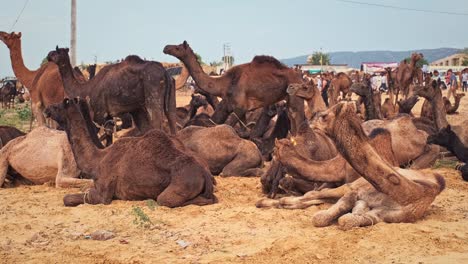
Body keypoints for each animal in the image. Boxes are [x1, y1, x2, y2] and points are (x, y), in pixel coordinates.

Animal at [44, 98, 217, 207]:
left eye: (57, 106)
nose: (46, 110)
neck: (97, 160)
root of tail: (204, 173)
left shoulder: (103, 194)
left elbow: (68, 198)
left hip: (180, 185)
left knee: (165, 199)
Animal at [47, 45, 176, 135]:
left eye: (56, 52)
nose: (48, 55)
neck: (87, 88)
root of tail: (165, 73)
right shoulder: (114, 114)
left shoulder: (99, 112)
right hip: (170, 96)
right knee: (172, 120)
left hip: (152, 91)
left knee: (157, 122)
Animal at [165, 41, 322, 136]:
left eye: (178, 47)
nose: (166, 47)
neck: (225, 83)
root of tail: (301, 76)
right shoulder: (233, 106)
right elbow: (231, 125)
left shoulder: (240, 107)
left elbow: (229, 126)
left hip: (295, 94)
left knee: (297, 115)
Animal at [258, 102, 444, 230]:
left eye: (324, 116)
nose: (264, 179)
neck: (409, 194)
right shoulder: (352, 188)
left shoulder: (382, 214)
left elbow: (343, 218)